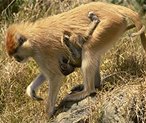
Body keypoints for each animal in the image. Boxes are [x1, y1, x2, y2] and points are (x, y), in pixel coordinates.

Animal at [5, 1, 145, 117]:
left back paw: (87, 90)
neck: (31, 35)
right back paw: (95, 84)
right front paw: (31, 91)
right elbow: (47, 74)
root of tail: (111, 7)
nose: (17, 59)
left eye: (16, 53)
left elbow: (55, 76)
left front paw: (48, 113)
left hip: (110, 25)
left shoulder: (41, 51)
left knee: (89, 49)